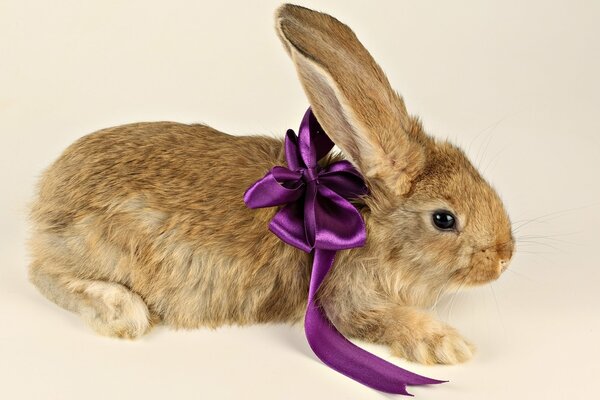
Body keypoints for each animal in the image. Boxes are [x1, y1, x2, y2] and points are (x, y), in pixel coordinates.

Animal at [28, 3, 512, 366]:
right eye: (444, 219)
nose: (504, 258)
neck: (365, 221)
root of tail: (46, 198)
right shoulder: (344, 297)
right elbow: (384, 320)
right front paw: (449, 344)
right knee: (42, 274)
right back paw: (119, 310)